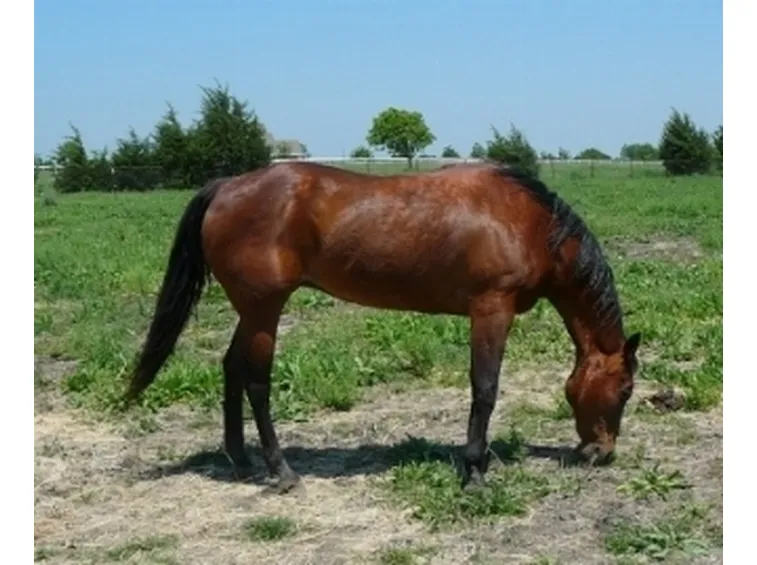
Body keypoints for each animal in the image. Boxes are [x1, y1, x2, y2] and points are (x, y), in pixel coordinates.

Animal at [125, 160, 641, 494]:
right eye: (625, 390)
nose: (601, 452)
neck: (526, 222)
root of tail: (227, 187)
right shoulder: (492, 310)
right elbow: (485, 389)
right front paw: (474, 472)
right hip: (264, 310)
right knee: (256, 381)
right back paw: (281, 470)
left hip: (251, 311)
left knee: (231, 369)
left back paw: (241, 460)